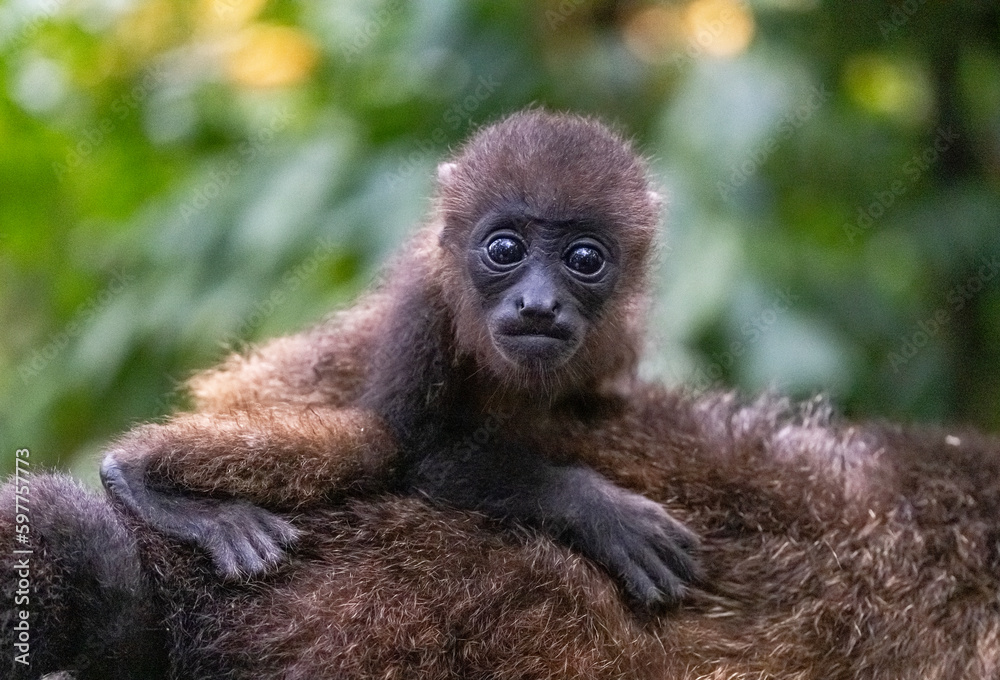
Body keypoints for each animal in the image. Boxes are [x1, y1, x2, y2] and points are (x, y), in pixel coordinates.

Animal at [98, 110, 701, 611]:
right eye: (505, 249)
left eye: (584, 258)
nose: (537, 304)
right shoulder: (423, 308)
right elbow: (419, 456)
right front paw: (599, 509)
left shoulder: (623, 340)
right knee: (370, 443)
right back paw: (137, 476)